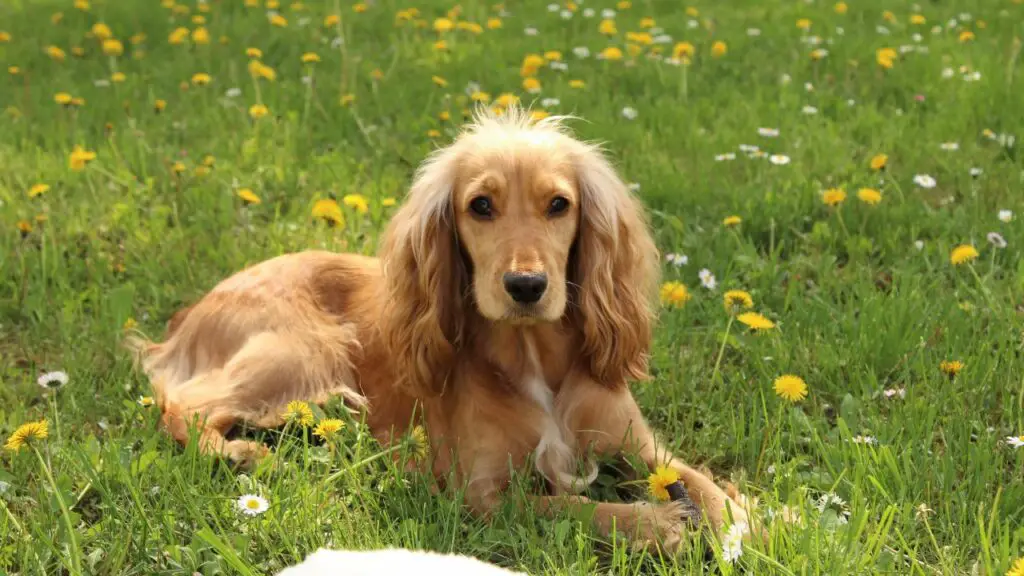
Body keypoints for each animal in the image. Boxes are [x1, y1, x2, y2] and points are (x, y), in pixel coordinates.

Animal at [128, 105, 753, 549]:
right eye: (480, 205)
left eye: (559, 204)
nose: (526, 285)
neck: (533, 358)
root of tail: (191, 314)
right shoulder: (480, 495)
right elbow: (570, 507)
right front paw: (657, 524)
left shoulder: (640, 446)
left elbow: (699, 479)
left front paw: (745, 520)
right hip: (303, 351)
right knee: (185, 406)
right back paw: (242, 453)